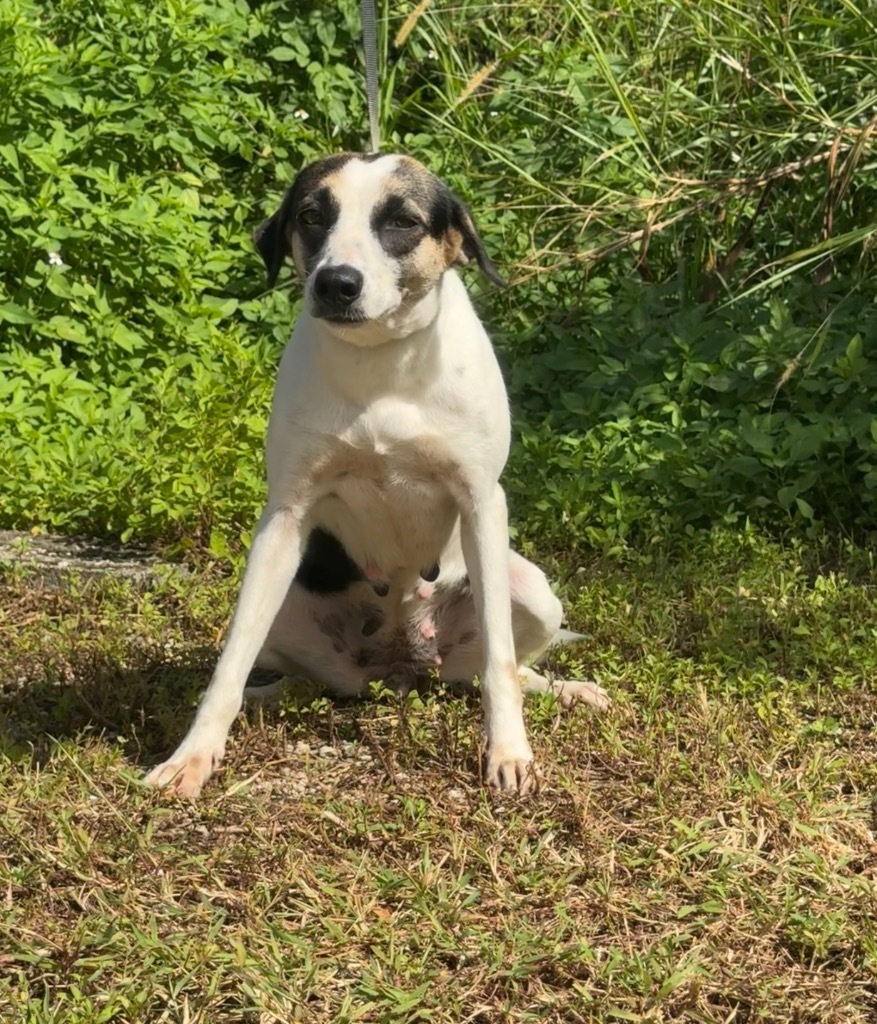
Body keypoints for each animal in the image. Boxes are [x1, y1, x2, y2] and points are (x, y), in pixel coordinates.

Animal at [145, 153, 610, 798]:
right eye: (311, 215)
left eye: (403, 221)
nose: (336, 283)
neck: (380, 365)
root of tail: (400, 664)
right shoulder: (285, 516)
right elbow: (229, 665)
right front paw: (192, 756)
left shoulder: (481, 503)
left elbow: (500, 664)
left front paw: (509, 753)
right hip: (282, 604)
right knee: (292, 675)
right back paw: (270, 695)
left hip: (533, 591)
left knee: (501, 666)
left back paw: (567, 689)